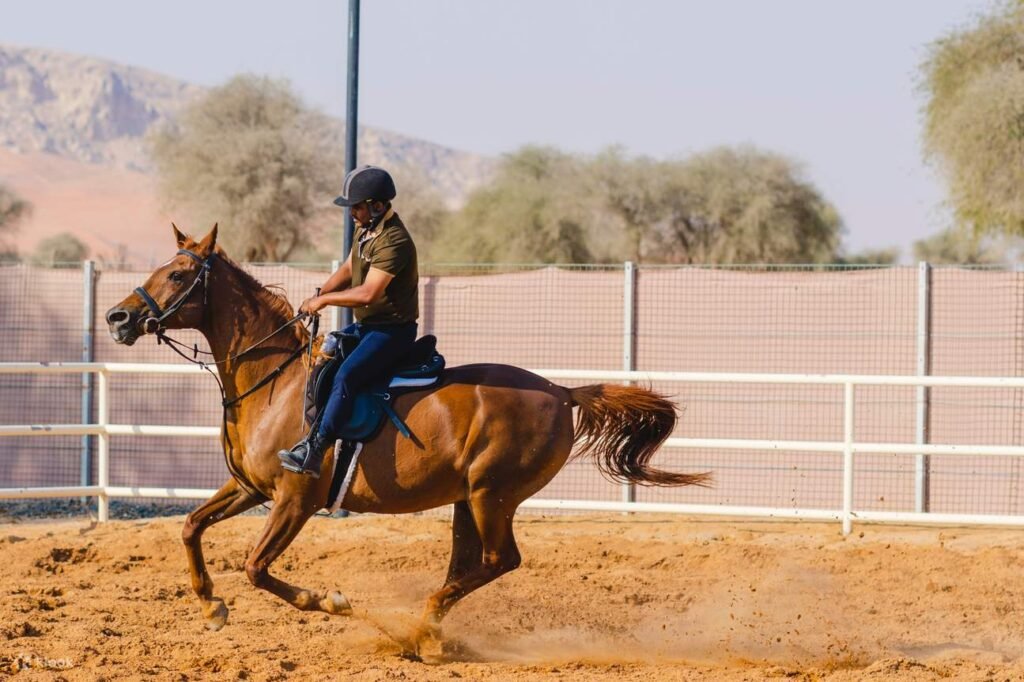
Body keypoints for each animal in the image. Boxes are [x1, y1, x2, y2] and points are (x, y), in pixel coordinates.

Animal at [104, 224, 710, 654]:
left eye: (178, 275)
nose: (118, 318)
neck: (275, 379)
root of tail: (561, 392)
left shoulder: (293, 500)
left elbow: (256, 568)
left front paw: (332, 601)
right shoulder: (250, 488)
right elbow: (190, 526)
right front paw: (211, 606)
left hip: (493, 495)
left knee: (500, 561)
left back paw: (417, 634)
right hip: (469, 501)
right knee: (470, 567)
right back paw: (429, 634)